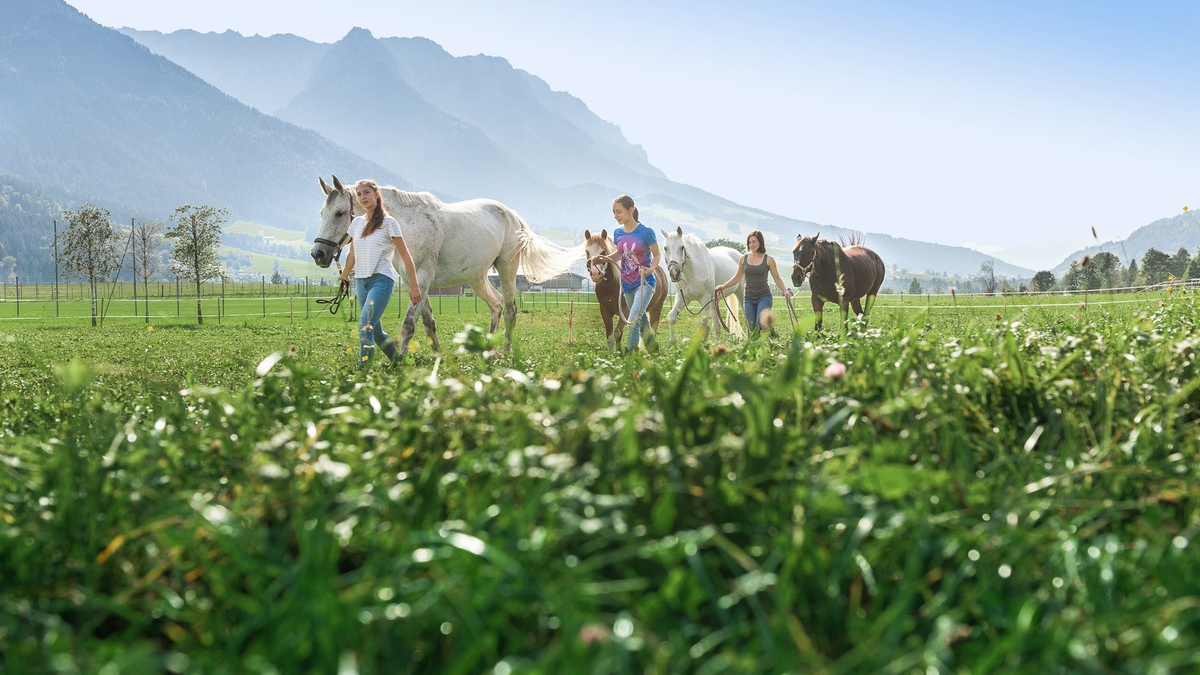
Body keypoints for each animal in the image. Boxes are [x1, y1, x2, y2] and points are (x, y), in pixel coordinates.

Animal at [311, 175, 582, 355]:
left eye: (339, 213)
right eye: (322, 213)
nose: (318, 254)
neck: (406, 225)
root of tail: (513, 216)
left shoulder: (422, 279)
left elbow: (408, 324)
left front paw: (400, 362)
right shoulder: (412, 282)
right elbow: (428, 323)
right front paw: (436, 356)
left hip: (507, 269)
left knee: (510, 310)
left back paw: (505, 353)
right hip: (477, 277)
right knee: (495, 306)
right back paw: (489, 353)